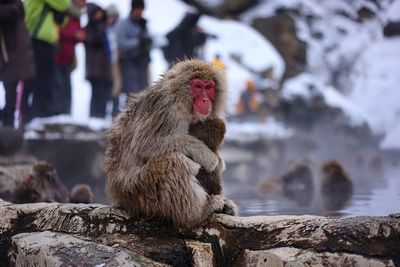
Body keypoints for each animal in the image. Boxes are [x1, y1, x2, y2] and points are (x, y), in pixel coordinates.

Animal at [104, 59, 239, 229]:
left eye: (209, 87)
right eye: (197, 86)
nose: (205, 100)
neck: (182, 101)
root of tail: (119, 197)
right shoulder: (165, 108)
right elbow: (146, 144)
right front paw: (207, 156)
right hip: (141, 192)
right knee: (174, 161)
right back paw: (197, 213)